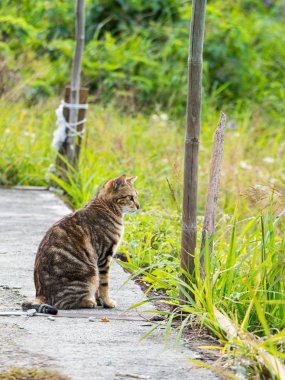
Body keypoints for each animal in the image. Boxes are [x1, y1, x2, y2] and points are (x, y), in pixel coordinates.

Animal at [21, 175, 138, 314]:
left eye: (136, 196)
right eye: (130, 197)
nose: (139, 206)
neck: (106, 207)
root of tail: (40, 294)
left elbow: (99, 288)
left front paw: (100, 300)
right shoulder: (105, 256)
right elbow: (104, 284)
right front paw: (107, 302)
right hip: (90, 275)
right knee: (62, 303)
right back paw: (88, 302)